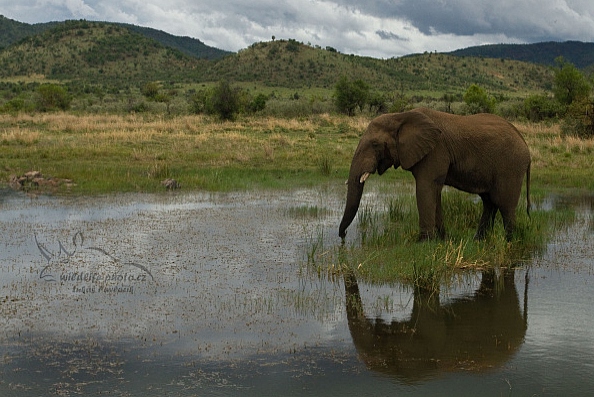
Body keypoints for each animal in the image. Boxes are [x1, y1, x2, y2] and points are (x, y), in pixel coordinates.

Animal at [340, 106, 528, 240]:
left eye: (375, 144)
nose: (343, 237)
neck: (400, 116)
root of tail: (524, 141)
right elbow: (434, 192)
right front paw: (442, 239)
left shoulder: (435, 150)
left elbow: (425, 188)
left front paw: (424, 242)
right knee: (489, 202)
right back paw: (479, 241)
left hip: (511, 167)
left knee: (505, 204)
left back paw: (509, 242)